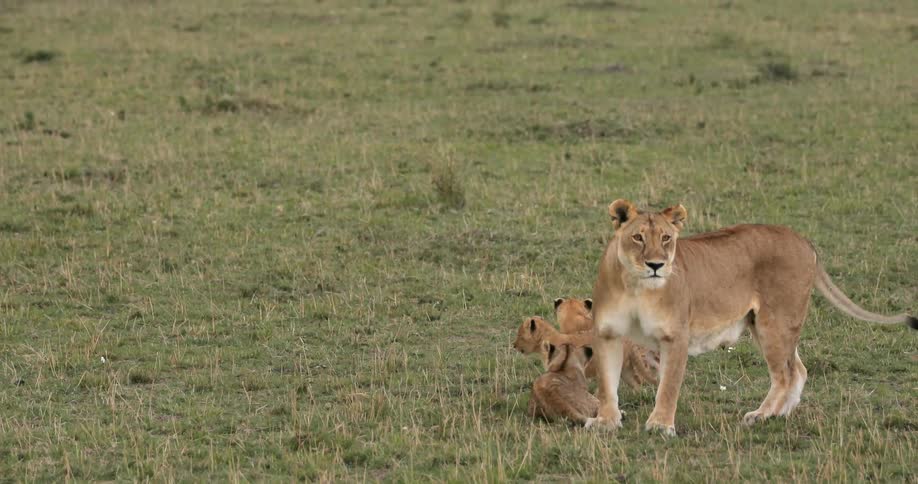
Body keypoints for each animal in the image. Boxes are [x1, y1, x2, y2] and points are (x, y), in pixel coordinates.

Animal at [585, 199, 917, 436]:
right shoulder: (607, 333)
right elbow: (606, 384)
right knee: (798, 369)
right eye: (638, 237)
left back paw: (761, 415)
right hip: (771, 325)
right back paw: (780, 414)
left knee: (785, 375)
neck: (636, 287)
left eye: (666, 238)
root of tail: (802, 239)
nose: (656, 265)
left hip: (775, 324)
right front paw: (605, 421)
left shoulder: (676, 336)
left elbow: (668, 387)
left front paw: (660, 425)